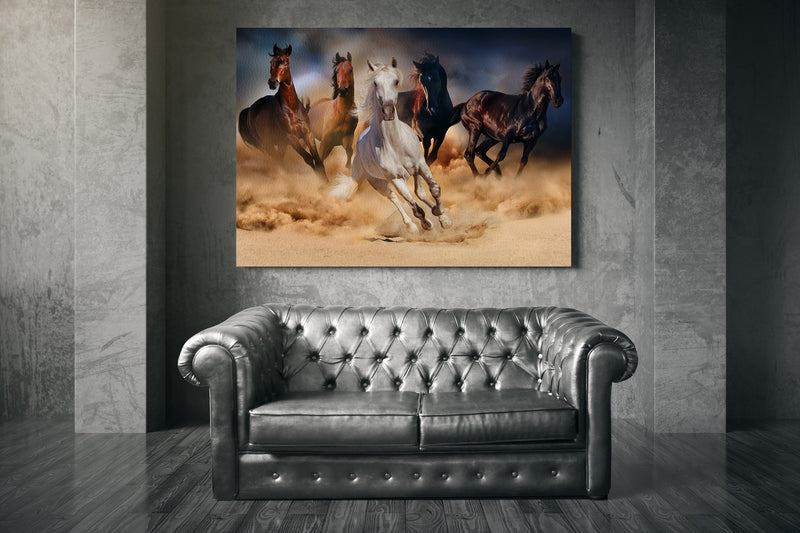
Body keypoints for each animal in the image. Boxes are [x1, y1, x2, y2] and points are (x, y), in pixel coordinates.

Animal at [239, 43, 326, 179]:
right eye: (271, 62)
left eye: (286, 63)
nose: (272, 82)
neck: (292, 108)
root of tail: (249, 110)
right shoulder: (290, 137)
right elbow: (308, 158)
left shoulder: (308, 134)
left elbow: (318, 160)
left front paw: (326, 181)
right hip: (267, 144)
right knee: (277, 160)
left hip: (280, 144)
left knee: (279, 159)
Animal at [328, 58, 450, 233]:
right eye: (375, 83)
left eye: (396, 81)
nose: (388, 111)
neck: (396, 144)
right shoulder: (396, 179)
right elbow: (415, 208)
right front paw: (426, 224)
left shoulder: (421, 165)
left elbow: (434, 189)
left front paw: (443, 217)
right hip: (378, 183)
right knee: (394, 198)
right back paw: (411, 225)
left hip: (415, 172)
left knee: (419, 192)